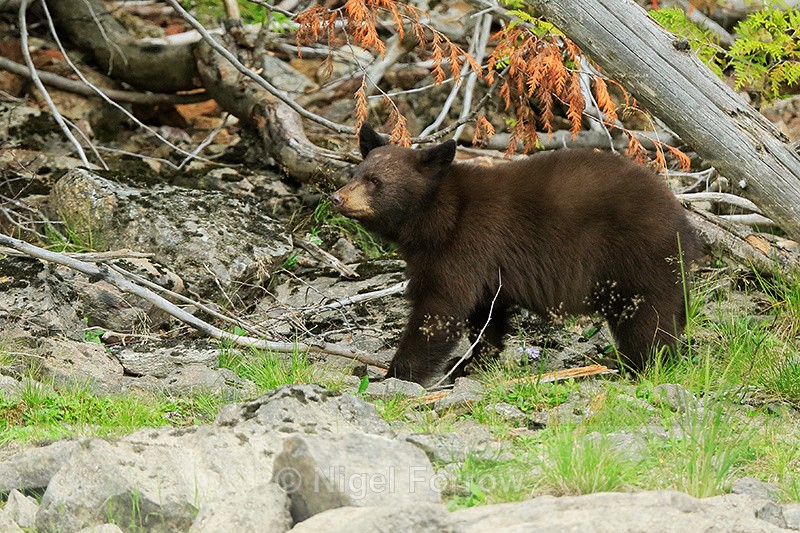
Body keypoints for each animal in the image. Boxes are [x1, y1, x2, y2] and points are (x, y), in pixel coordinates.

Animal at [331, 123, 700, 385]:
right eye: (355, 174)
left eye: (375, 181)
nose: (337, 198)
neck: (438, 214)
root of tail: (684, 223)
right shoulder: (480, 267)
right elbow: (485, 316)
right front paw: (472, 362)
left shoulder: (464, 244)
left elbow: (439, 309)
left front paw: (395, 374)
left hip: (638, 260)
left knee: (648, 322)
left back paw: (636, 365)